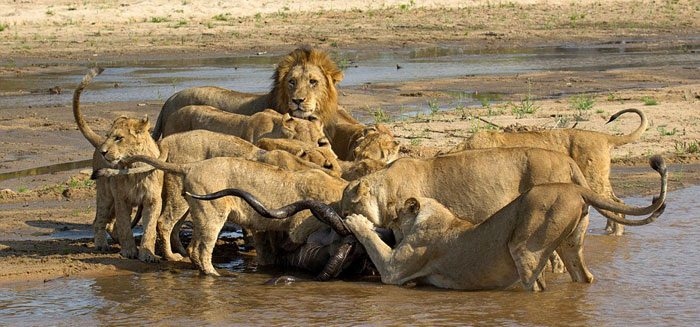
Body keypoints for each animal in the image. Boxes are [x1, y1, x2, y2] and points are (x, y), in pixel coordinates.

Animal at [344, 157, 668, 292]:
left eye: (396, 217)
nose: (390, 225)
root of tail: (576, 188)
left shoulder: (393, 270)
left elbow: (373, 241)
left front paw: (356, 221)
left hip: (525, 247)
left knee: (536, 284)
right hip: (570, 245)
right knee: (584, 277)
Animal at [452, 109, 648, 237]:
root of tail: (604, 136)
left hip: (593, 180)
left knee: (617, 203)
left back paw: (615, 234)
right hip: (599, 179)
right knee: (614, 203)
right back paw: (608, 230)